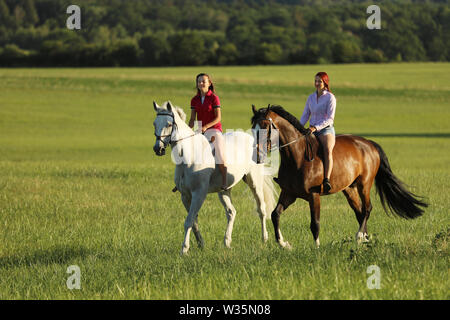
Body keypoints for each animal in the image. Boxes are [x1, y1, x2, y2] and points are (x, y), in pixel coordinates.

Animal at [153, 100, 276, 255]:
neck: (188, 156)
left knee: (261, 210)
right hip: (224, 190)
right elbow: (193, 221)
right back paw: (227, 242)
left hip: (254, 182)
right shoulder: (185, 196)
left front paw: (184, 249)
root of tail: (253, 140)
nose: (158, 149)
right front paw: (201, 244)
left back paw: (264, 239)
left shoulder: (198, 194)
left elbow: (189, 221)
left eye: (169, 124)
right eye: (154, 124)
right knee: (231, 212)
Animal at [251, 104, 428, 249]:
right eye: (253, 127)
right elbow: (275, 214)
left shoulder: (314, 195)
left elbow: (315, 223)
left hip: (364, 185)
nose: (256, 155)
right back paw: (365, 239)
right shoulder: (289, 193)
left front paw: (317, 247)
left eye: (265, 126)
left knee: (367, 209)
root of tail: (369, 143)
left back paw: (359, 237)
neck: (298, 157)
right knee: (359, 212)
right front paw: (284, 244)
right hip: (349, 189)